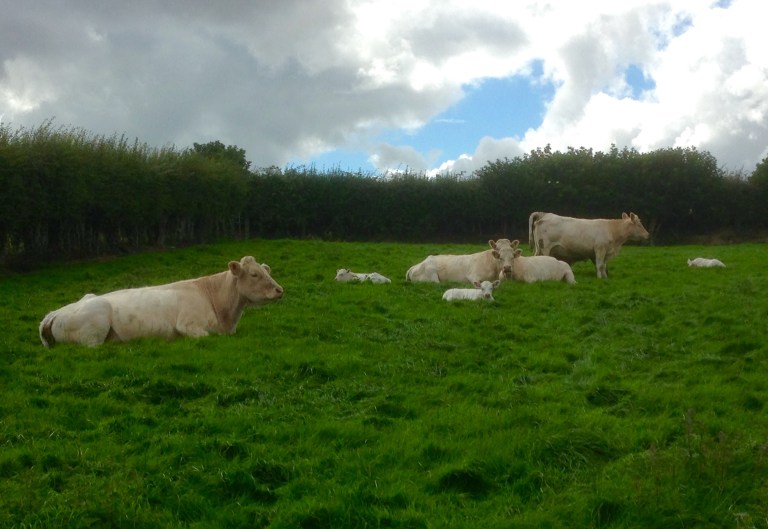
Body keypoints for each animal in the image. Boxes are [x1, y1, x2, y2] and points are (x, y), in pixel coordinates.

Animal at [39, 256, 283, 347]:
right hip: (94, 329)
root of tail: (52, 314)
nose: (280, 290)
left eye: (266, 270)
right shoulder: (187, 325)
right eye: (254, 274)